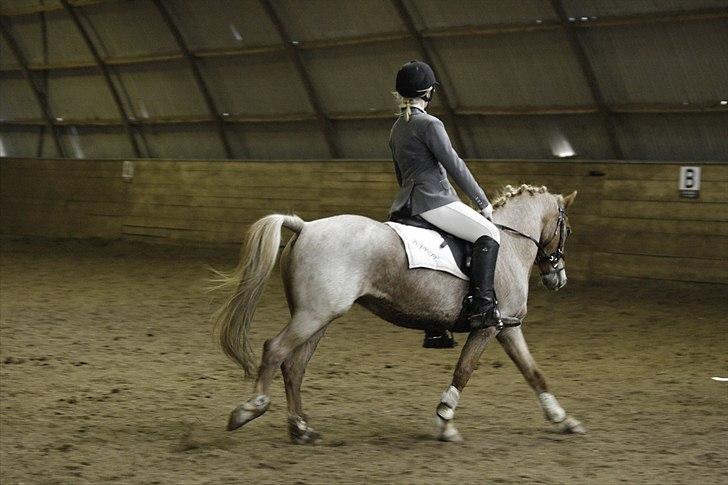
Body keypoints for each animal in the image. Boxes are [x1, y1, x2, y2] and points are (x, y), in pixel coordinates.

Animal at [212, 184, 585, 444]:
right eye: (567, 230)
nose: (559, 278)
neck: (507, 245)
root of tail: (305, 226)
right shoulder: (488, 327)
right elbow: (463, 371)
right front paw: (445, 423)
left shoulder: (507, 326)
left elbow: (533, 372)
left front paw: (563, 419)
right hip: (314, 315)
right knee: (275, 350)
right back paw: (251, 408)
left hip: (318, 317)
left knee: (294, 366)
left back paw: (302, 429)